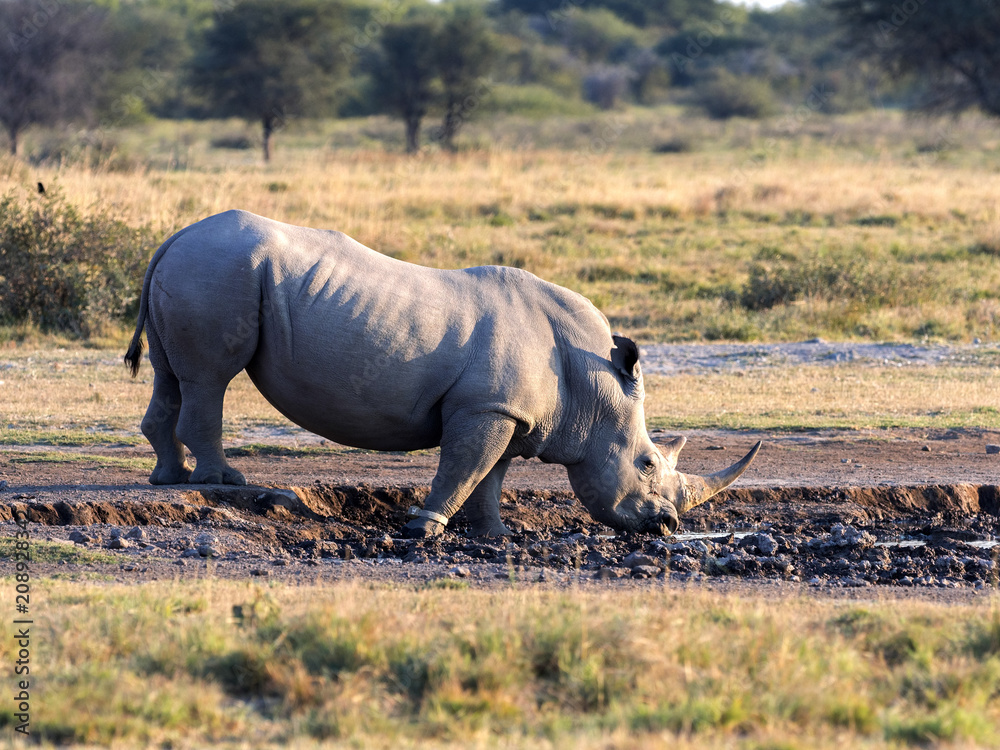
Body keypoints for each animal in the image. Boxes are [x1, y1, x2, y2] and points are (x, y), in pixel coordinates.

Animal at [124, 210, 760, 538]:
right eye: (647, 463)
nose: (666, 524)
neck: (592, 385)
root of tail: (173, 237)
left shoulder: (505, 411)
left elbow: (490, 475)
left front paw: (495, 536)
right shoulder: (486, 408)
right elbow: (465, 466)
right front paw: (424, 528)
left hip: (199, 268)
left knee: (170, 374)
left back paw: (169, 480)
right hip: (218, 269)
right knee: (210, 378)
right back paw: (220, 482)